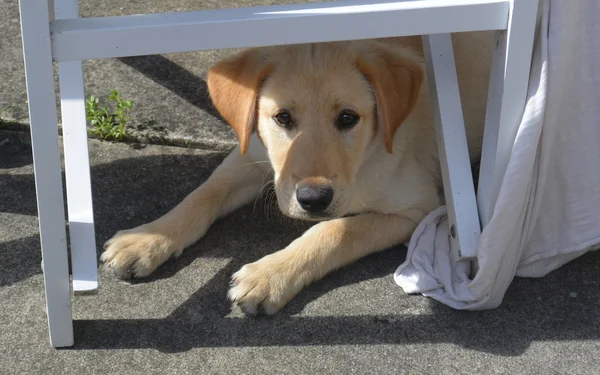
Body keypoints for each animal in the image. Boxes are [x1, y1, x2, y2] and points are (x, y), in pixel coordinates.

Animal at [102, 31, 492, 314]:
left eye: (348, 118)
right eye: (282, 117)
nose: (313, 199)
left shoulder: (417, 207)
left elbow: (334, 230)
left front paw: (271, 275)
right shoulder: (252, 154)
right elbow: (204, 193)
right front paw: (149, 238)